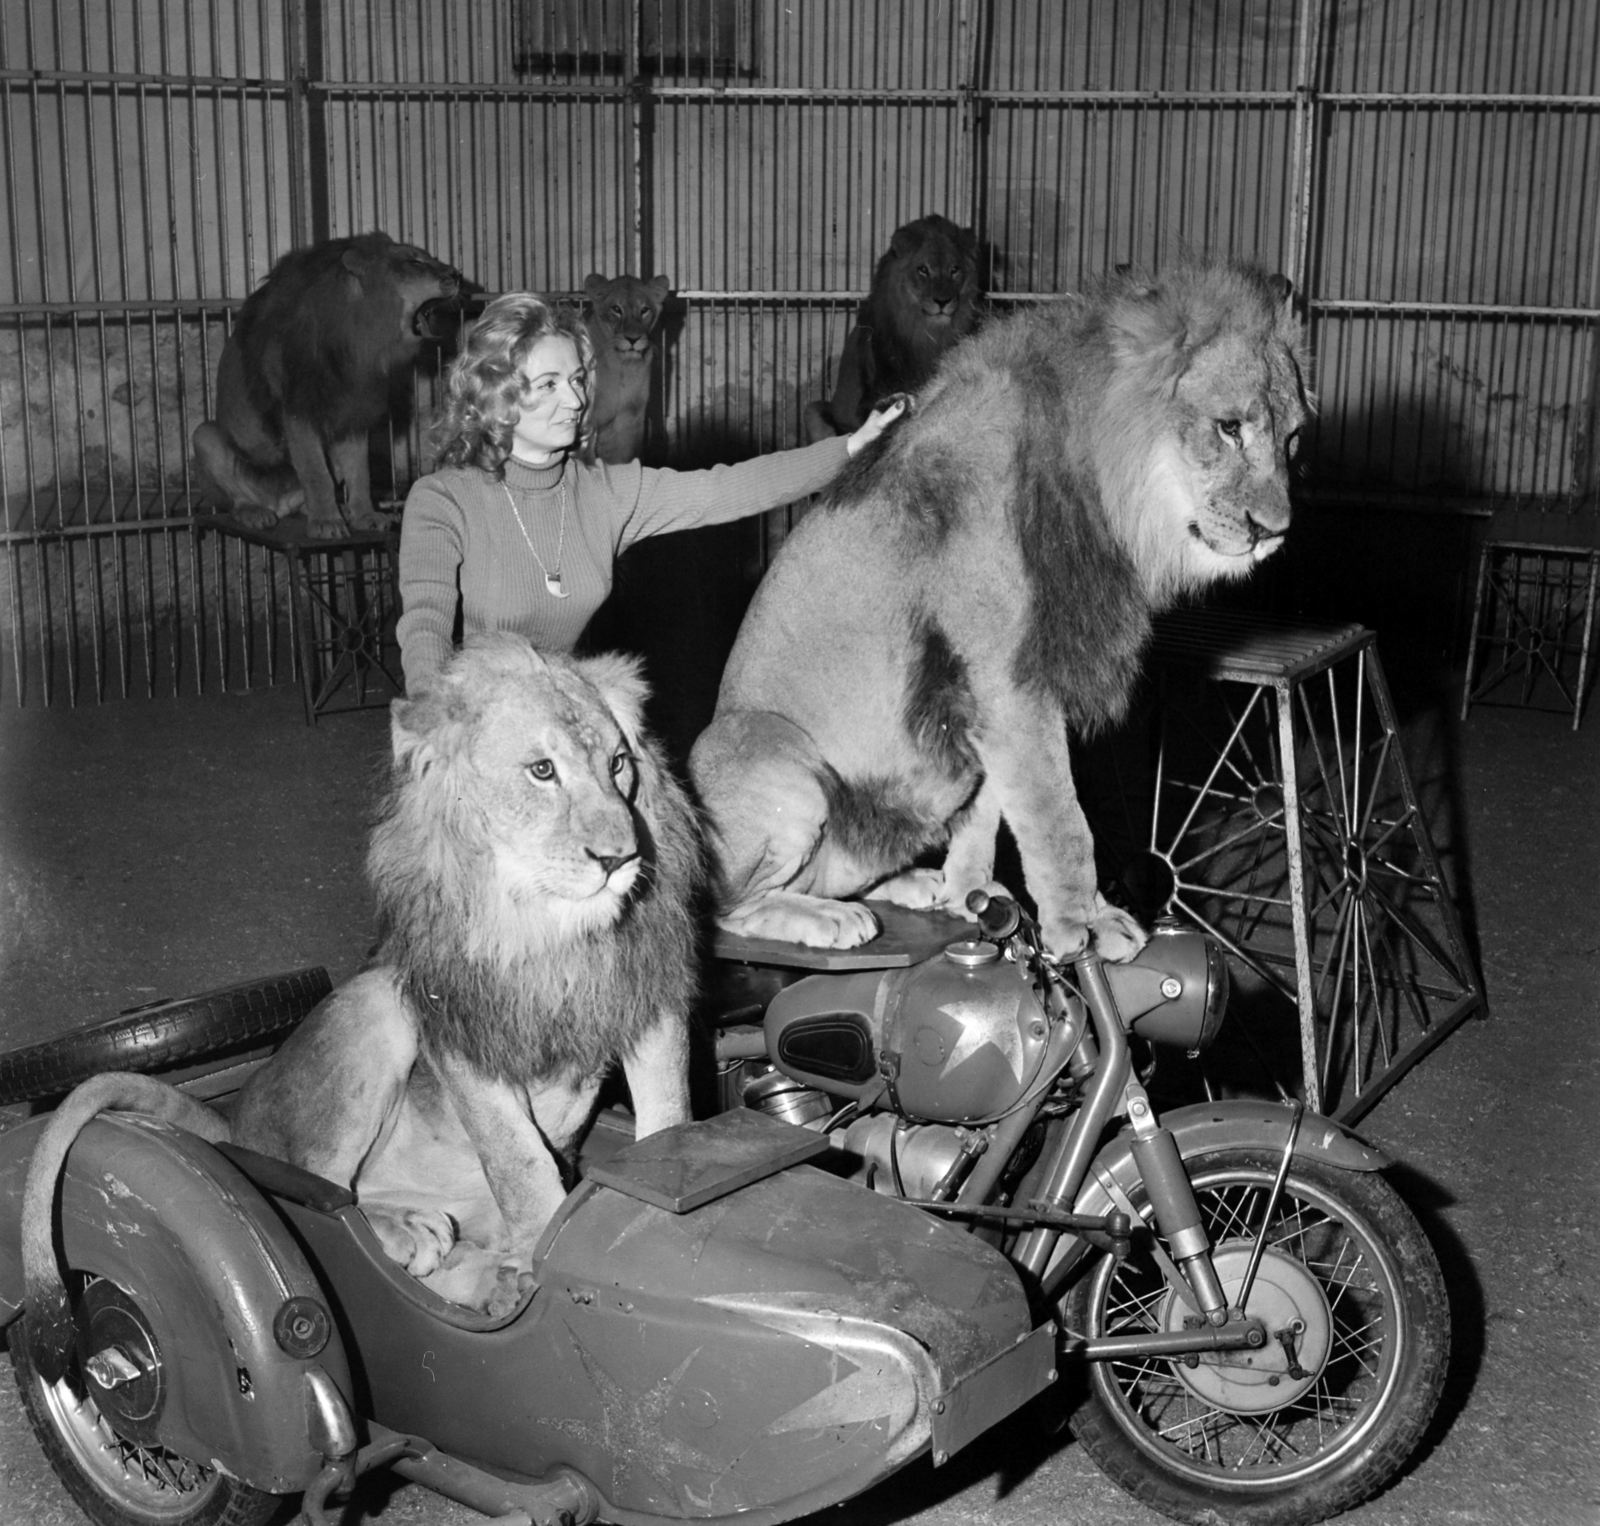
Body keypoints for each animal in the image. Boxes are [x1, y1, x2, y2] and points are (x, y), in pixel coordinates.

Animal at [20, 636, 701, 1363]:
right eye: (542, 771)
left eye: (618, 764)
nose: (620, 857)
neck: (552, 932)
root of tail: (237, 1128)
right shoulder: (457, 1028)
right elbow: (520, 1163)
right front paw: (545, 1274)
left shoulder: (650, 1003)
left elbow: (668, 1118)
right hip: (378, 1007)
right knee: (322, 1193)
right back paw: (411, 1232)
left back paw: (481, 1277)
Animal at [192, 232, 463, 539]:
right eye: (413, 262)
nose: (457, 275)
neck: (356, 339)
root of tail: (279, 506)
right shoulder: (299, 411)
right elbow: (316, 474)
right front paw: (326, 523)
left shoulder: (353, 412)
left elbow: (360, 472)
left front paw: (364, 516)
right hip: (205, 438)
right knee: (235, 499)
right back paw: (256, 512)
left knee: (305, 500)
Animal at [583, 272, 672, 464]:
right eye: (616, 309)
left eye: (644, 310)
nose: (633, 339)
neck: (622, 366)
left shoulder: (630, 417)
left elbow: (626, 458)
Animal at [690, 256, 1308, 962]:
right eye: (1229, 428)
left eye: (1293, 440)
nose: (1276, 531)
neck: (1104, 492)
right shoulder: (1009, 682)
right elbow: (1059, 818)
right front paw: (1086, 925)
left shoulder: (978, 702)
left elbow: (987, 816)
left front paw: (971, 898)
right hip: (771, 753)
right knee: (724, 911)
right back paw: (827, 918)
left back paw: (905, 883)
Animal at [803, 214, 982, 442]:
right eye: (923, 269)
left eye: (954, 270)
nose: (942, 301)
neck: (927, 333)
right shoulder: (874, 395)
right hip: (812, 411)